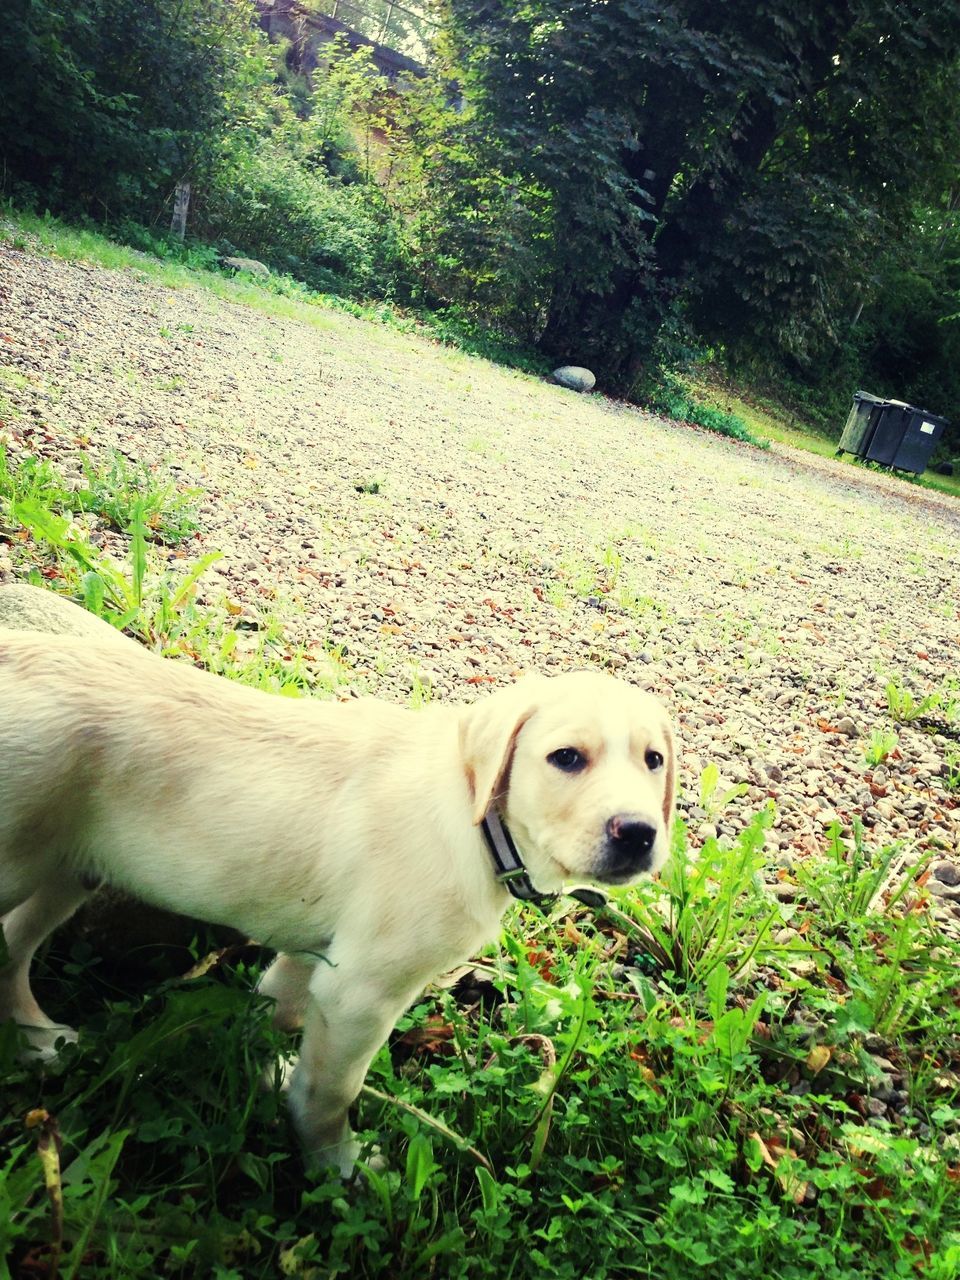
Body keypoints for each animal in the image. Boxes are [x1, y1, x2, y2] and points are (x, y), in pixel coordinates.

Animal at [0, 629, 675, 1172]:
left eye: (653, 760)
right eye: (566, 758)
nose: (640, 832)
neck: (475, 819)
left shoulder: (310, 956)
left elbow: (272, 1016)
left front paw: (263, 1073)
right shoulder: (360, 994)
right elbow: (331, 1091)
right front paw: (336, 1162)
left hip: (68, 870)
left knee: (12, 948)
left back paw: (39, 1042)